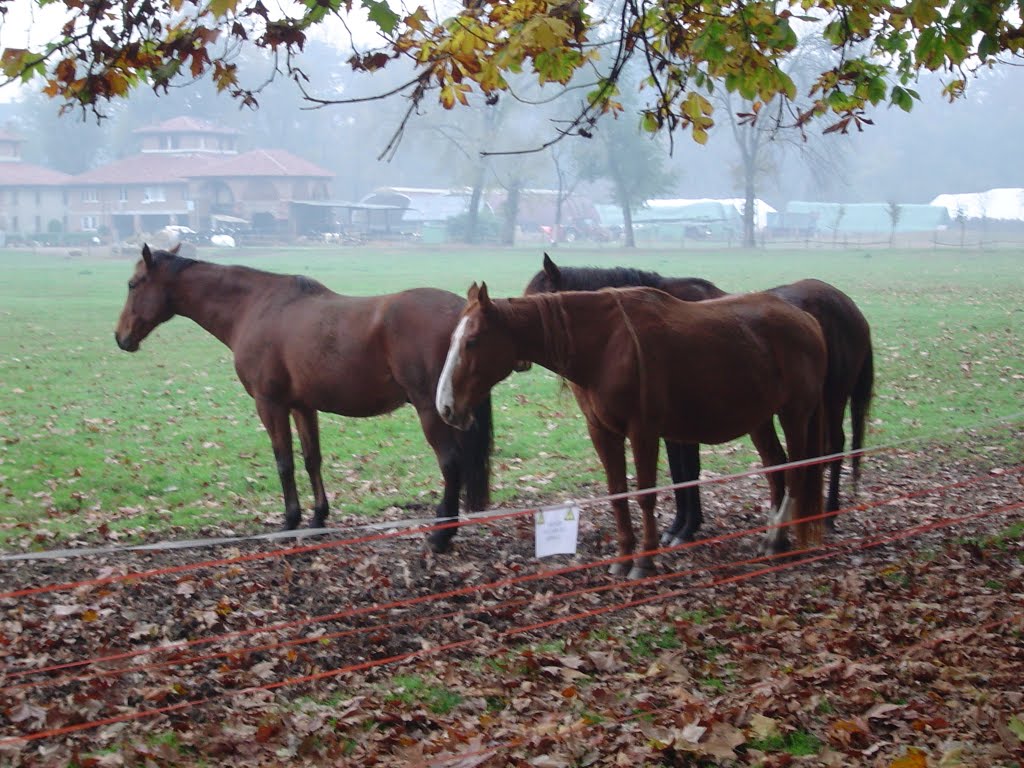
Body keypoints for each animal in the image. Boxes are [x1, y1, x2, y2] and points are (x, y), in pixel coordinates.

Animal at [115, 246, 491, 552]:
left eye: (133, 284)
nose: (121, 337)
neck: (255, 306)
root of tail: (463, 313)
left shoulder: (270, 404)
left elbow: (284, 462)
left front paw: (290, 521)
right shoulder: (302, 406)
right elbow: (312, 459)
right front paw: (318, 519)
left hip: (431, 410)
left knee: (450, 463)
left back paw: (441, 535)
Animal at [436, 282, 827, 577]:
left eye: (472, 341)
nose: (445, 406)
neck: (606, 345)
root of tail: (806, 319)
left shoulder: (643, 432)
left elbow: (645, 495)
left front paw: (644, 560)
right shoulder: (602, 433)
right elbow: (617, 494)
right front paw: (623, 558)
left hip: (795, 414)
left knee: (796, 472)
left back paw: (777, 539)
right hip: (760, 418)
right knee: (776, 469)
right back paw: (774, 535)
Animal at [528, 256, 872, 544]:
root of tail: (847, 305)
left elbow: (688, 472)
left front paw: (685, 528)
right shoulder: (672, 429)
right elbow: (680, 474)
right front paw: (679, 526)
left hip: (831, 399)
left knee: (834, 446)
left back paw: (828, 514)